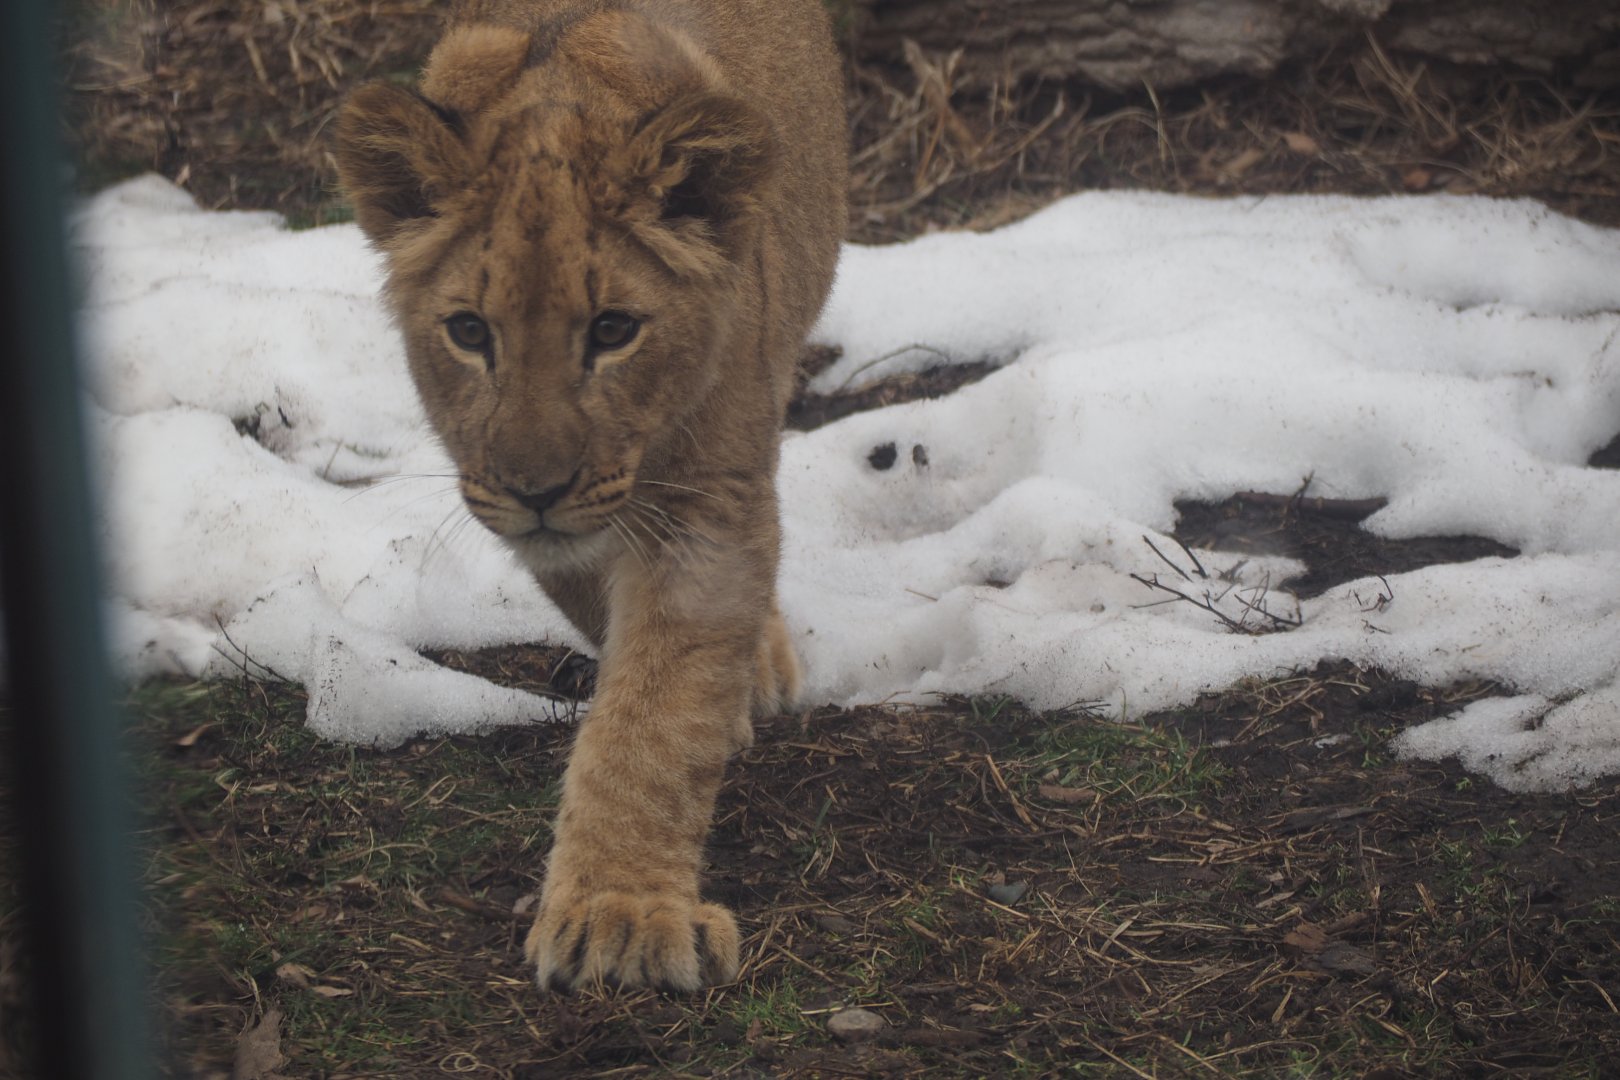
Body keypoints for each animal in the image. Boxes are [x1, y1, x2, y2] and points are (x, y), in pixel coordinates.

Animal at [331, 0, 846, 991]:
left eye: (613, 330)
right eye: (468, 332)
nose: (537, 489)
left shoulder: (705, 504)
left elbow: (655, 713)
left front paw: (621, 912)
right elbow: (611, 634)